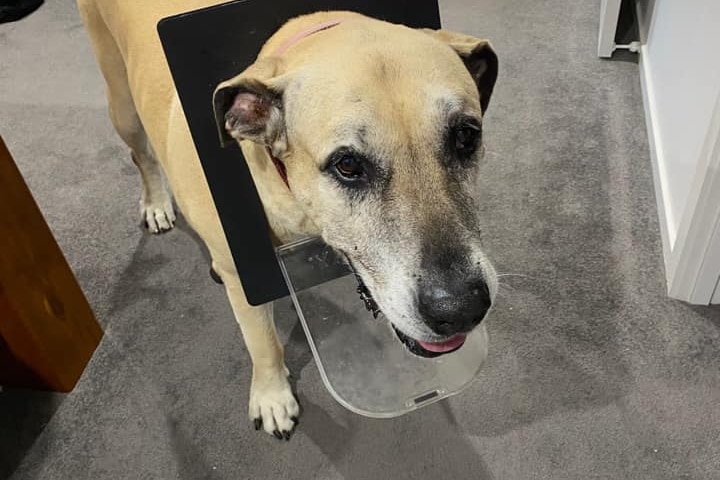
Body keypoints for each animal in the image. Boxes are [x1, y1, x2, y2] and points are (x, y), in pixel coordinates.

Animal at [77, 0, 496, 442]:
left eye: (466, 137)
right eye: (348, 165)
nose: (461, 307)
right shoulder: (246, 275)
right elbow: (263, 341)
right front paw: (272, 395)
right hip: (122, 104)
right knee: (141, 155)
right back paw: (157, 202)